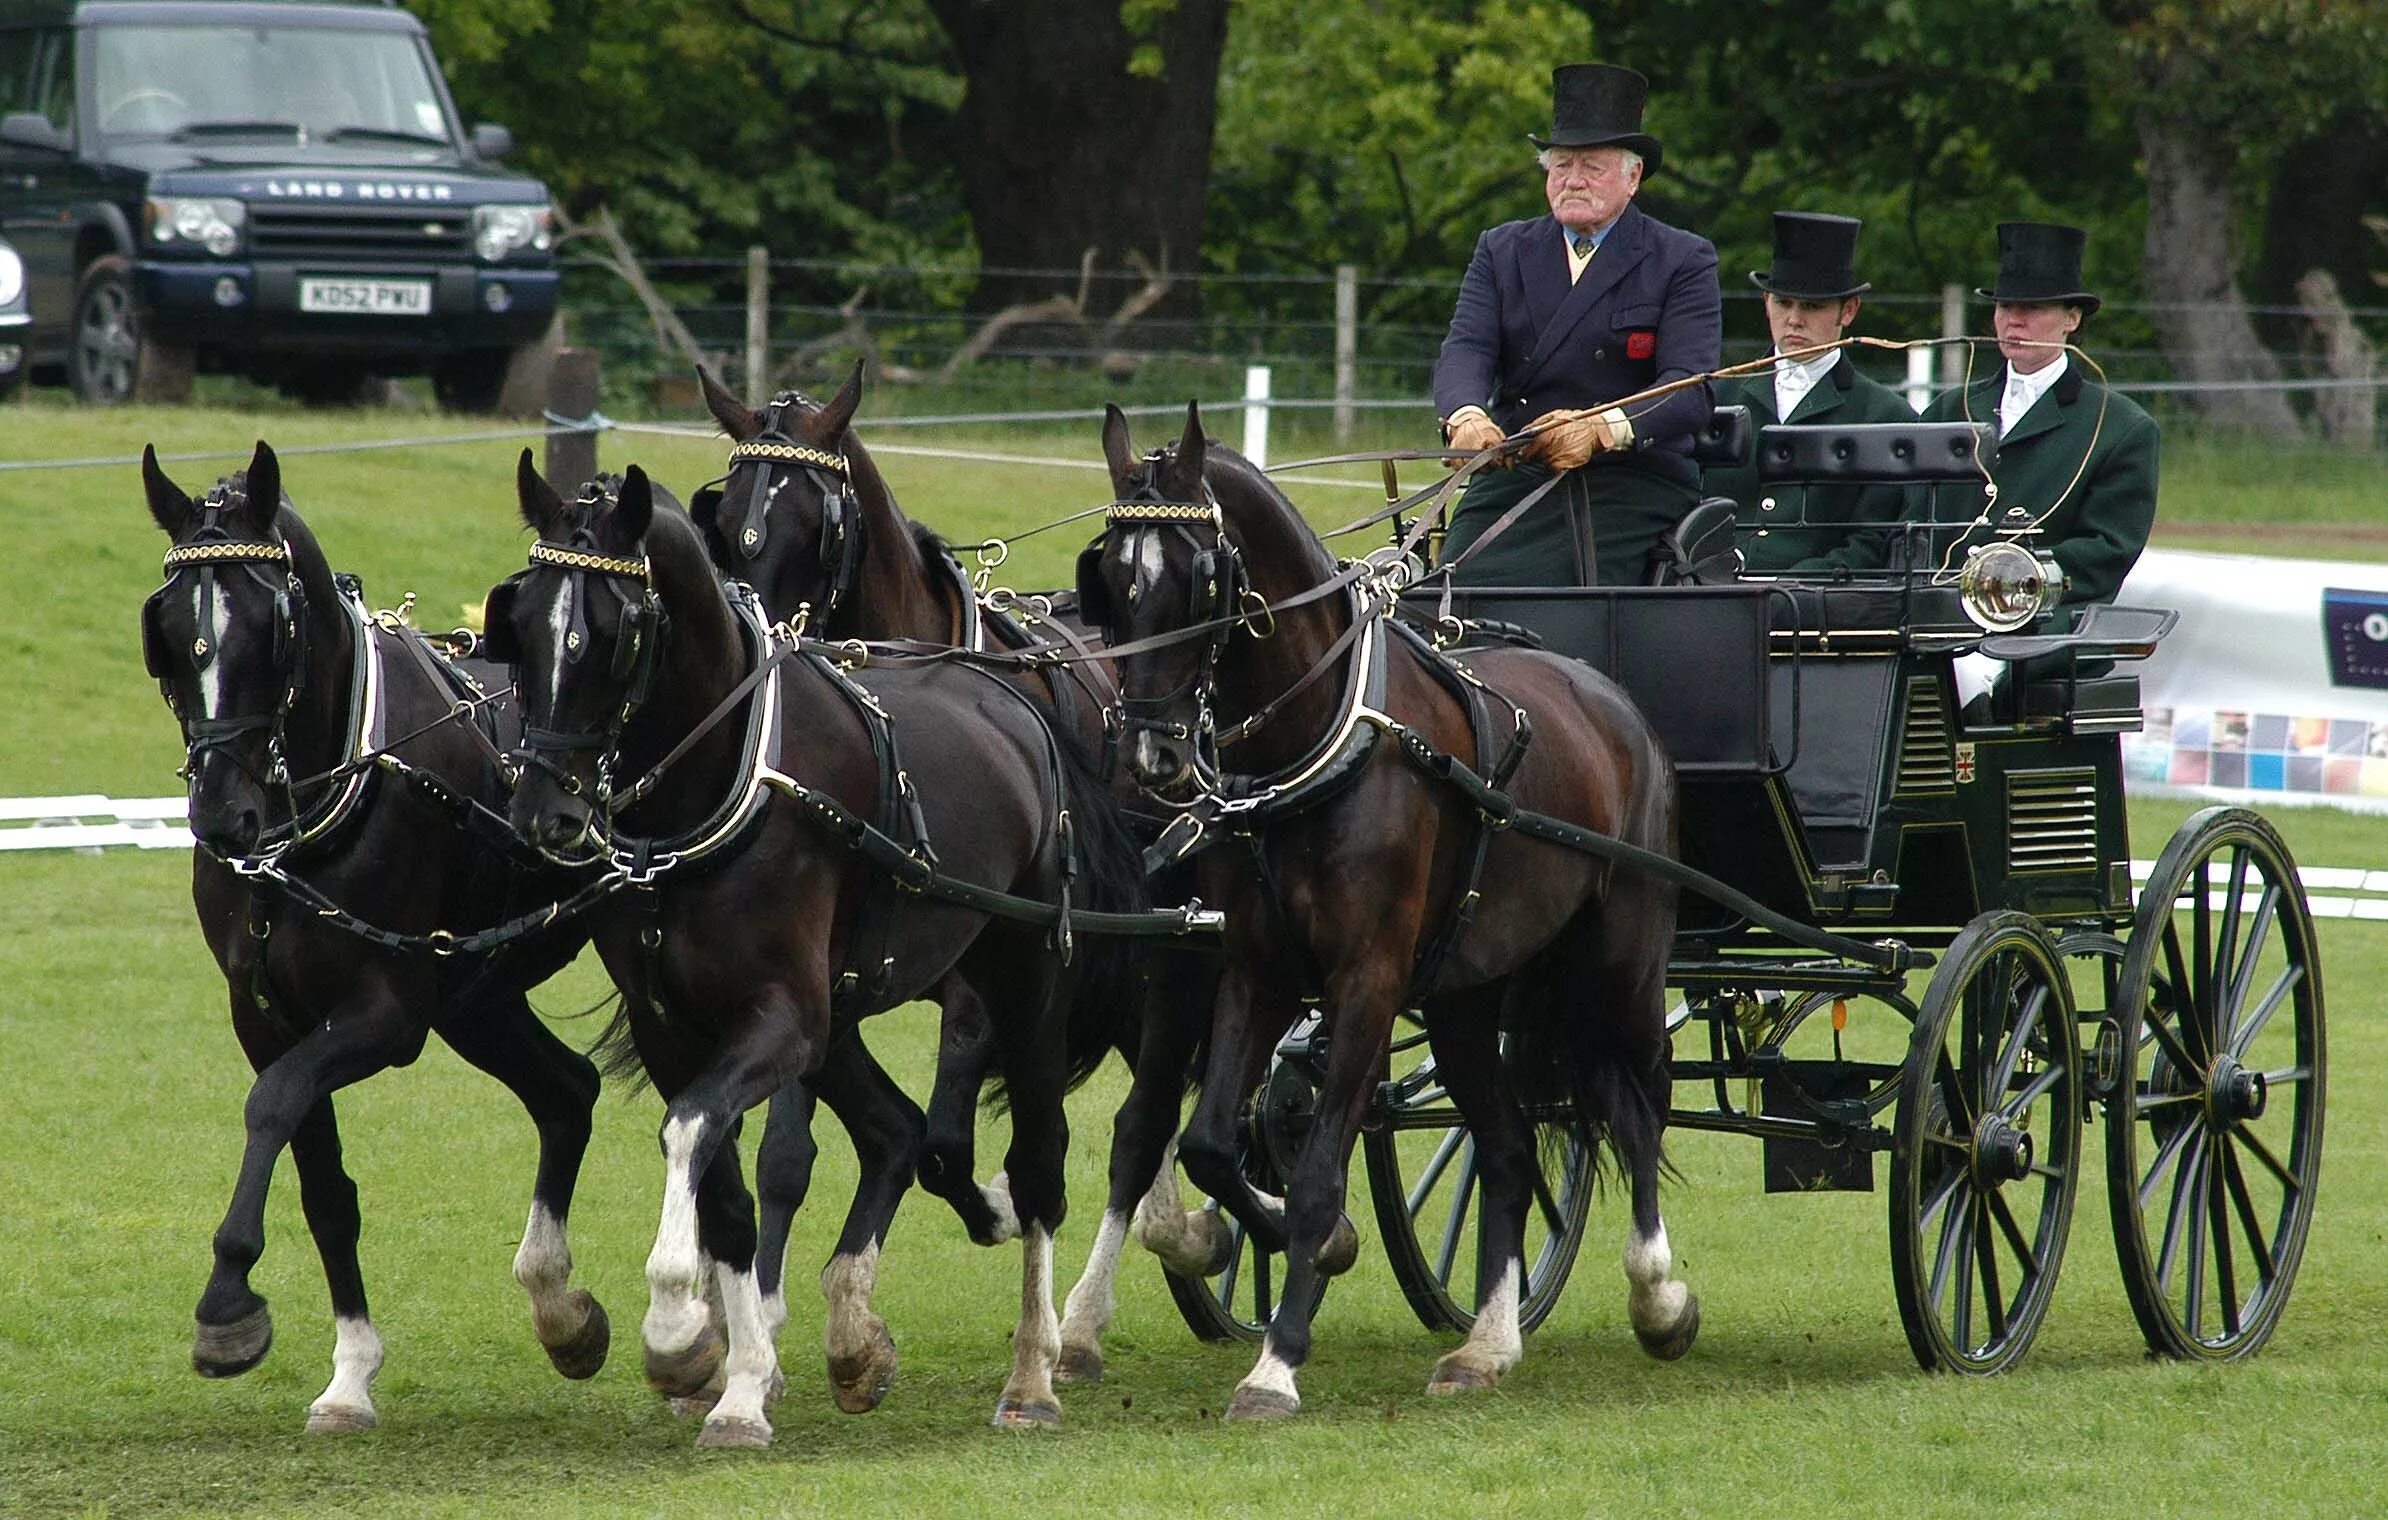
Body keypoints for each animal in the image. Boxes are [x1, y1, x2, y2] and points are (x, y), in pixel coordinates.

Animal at [137, 441, 616, 1431]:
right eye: (165, 627)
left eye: (270, 627)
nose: (223, 815)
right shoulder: (264, 1014)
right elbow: (322, 1182)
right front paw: (350, 1371)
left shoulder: (384, 1017)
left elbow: (274, 1102)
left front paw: (228, 1302)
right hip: (478, 996)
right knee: (568, 1092)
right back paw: (564, 1311)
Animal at [491, 455, 1146, 1441]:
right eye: (522, 621)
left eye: (614, 634)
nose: (544, 815)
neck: (722, 779)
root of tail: (1017, 698)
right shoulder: (674, 1025)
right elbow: (723, 1187)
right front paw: (735, 1375)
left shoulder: (784, 1021)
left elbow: (690, 1131)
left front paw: (679, 1328)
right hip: (844, 1016)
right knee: (894, 1130)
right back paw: (853, 1338)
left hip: (1024, 990)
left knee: (1038, 1168)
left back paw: (1035, 1371)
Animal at [682, 367, 1222, 1383]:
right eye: (724, 514)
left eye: (818, 522)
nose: (756, 650)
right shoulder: (824, 965)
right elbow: (790, 1154)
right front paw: (760, 1313)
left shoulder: (983, 984)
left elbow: (940, 1144)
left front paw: (1001, 1209)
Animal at [1084, 403, 1700, 1412]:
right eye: (1110, 581)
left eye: (1200, 579)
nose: (1152, 758)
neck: (1321, 745)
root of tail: (1614, 700)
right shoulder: (1256, 970)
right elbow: (1212, 1143)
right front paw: (1271, 1244)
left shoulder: (1366, 982)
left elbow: (1318, 1173)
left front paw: (1277, 1360)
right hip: (1466, 996)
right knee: (1508, 1148)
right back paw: (1487, 1345)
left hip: (1620, 962)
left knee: (1637, 1101)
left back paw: (1658, 1296)